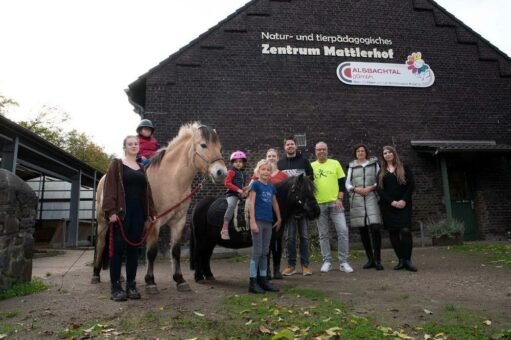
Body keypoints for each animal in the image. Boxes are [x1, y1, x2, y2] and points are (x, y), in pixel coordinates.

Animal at [92, 122, 228, 292]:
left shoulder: (178, 222)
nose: (221, 172)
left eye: (220, 148)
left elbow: (175, 251)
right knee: (101, 244)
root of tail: (104, 178)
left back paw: (120, 277)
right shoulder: (154, 222)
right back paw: (95, 275)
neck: (171, 180)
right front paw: (150, 282)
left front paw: (180, 279)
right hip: (103, 222)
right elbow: (152, 252)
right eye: (203, 145)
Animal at [190, 174, 322, 282]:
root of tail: (198, 205)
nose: (315, 211)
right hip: (202, 239)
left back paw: (209, 275)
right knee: (199, 254)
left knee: (206, 255)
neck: (271, 207)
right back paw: (198, 277)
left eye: (312, 190)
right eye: (299, 190)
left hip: (210, 240)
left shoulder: (275, 238)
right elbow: (266, 255)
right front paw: (266, 276)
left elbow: (272, 254)